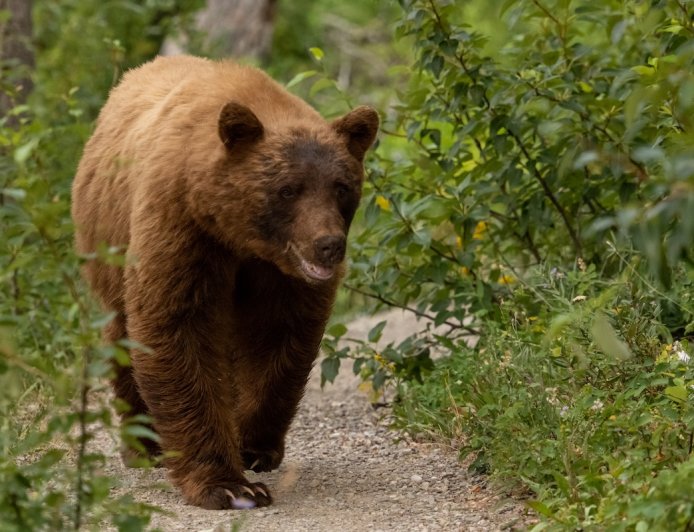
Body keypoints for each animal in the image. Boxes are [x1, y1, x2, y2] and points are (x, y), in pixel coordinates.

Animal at [71, 55, 379, 510]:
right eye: (288, 189)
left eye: (341, 186)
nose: (328, 245)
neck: (239, 234)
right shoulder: (182, 226)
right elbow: (177, 329)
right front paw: (228, 484)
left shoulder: (278, 272)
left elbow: (279, 337)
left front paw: (254, 446)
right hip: (107, 240)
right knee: (123, 331)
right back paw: (143, 444)